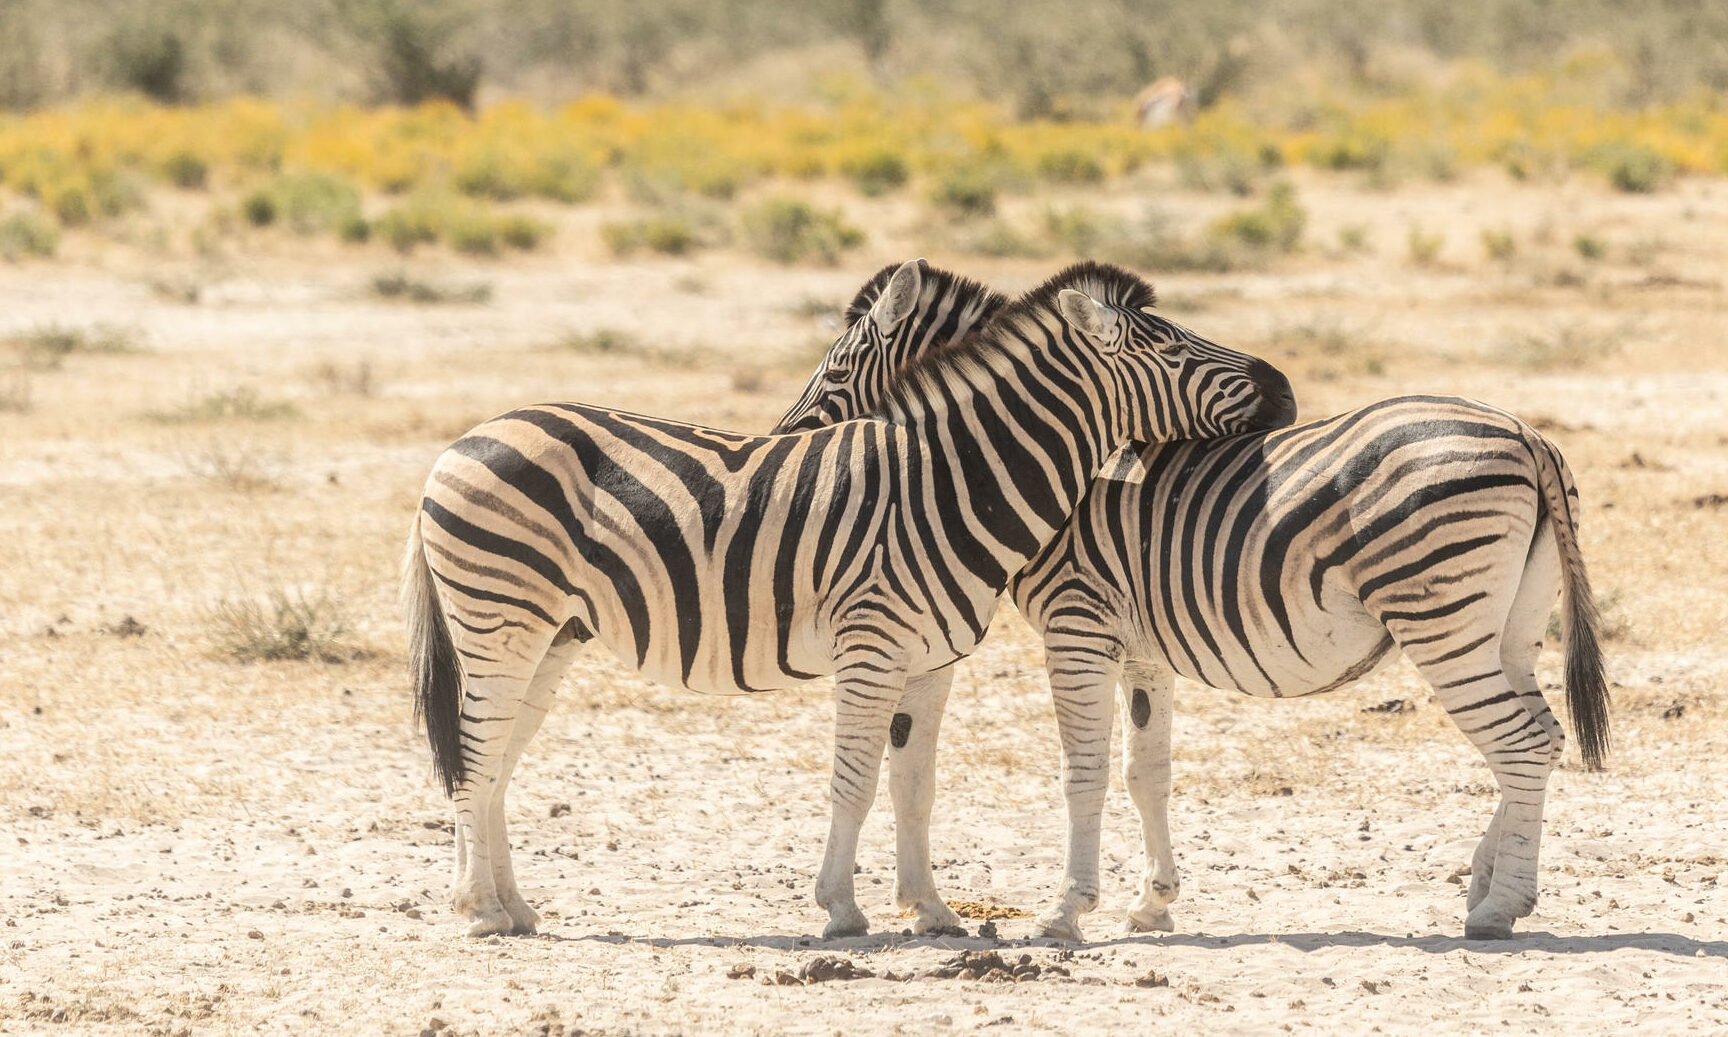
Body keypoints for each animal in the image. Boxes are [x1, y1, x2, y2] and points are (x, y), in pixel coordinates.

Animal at [404, 260, 1299, 940]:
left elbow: (914, 783)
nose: (1286, 388)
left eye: (836, 370)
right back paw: (478, 910)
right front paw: (840, 908)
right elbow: (854, 780)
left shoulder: (933, 658)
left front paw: (931, 910)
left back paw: (513, 906)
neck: (949, 479)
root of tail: (464, 439)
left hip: (548, 634)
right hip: (499, 619)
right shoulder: (872, 646)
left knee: (497, 757)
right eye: (1173, 347)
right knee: (476, 753)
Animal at [774, 305, 1603, 940]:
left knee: (1519, 742)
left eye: (837, 373)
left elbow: (1083, 771)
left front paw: (1066, 913)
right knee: (1539, 737)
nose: (784, 443)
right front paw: (1153, 904)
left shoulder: (1079, 624)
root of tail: (1527, 432)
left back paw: (1498, 907)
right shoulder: (1142, 650)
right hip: (1509, 625)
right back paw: (1490, 881)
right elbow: (1147, 774)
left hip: (1441, 614)